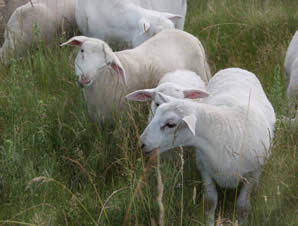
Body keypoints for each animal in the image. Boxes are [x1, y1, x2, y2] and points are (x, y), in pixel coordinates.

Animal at [139, 68, 276, 225]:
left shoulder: (253, 173)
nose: (142, 143)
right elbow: (210, 201)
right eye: (156, 107)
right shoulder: (204, 168)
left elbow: (242, 206)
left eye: (171, 124)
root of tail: (235, 69)